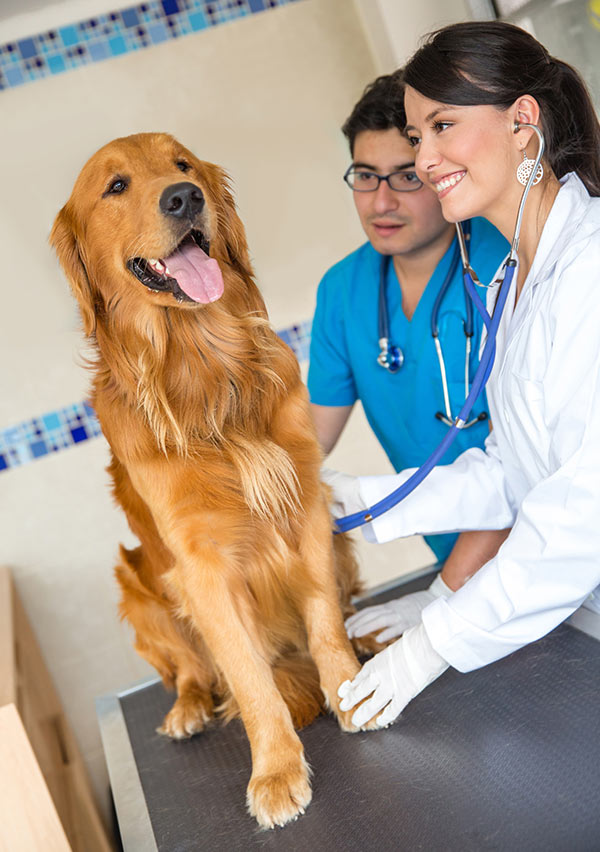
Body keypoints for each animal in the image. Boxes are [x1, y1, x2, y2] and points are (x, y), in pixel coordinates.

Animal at [50, 133, 376, 824]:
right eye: (115, 186)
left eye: (183, 165)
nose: (185, 197)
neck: (204, 368)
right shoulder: (200, 567)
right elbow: (249, 678)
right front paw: (276, 769)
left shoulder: (308, 505)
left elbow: (323, 619)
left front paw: (349, 690)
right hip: (136, 585)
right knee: (192, 671)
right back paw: (190, 707)